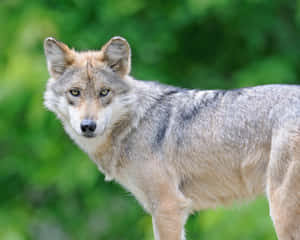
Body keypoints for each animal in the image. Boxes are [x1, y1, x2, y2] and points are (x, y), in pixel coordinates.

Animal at [42, 36, 300, 240]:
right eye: (75, 92)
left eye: (104, 92)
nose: (88, 126)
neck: (133, 124)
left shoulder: (168, 207)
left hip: (280, 210)